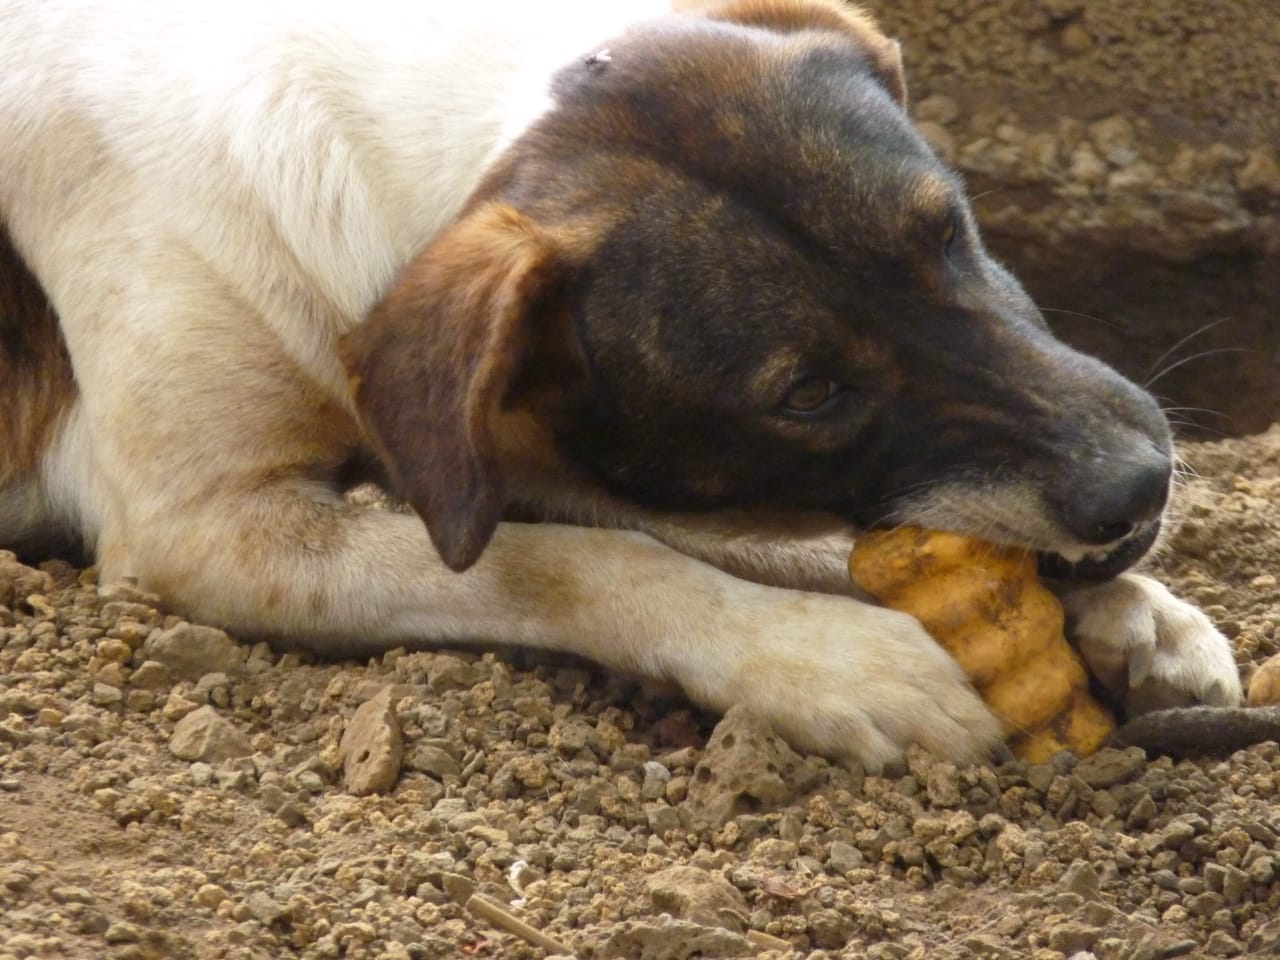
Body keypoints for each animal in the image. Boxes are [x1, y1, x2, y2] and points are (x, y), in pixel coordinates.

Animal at [0, 0, 1239, 773]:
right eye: (805, 394)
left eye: (945, 232)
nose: (1138, 487)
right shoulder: (205, 534)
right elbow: (577, 562)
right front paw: (821, 658)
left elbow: (741, 535)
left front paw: (1128, 613)